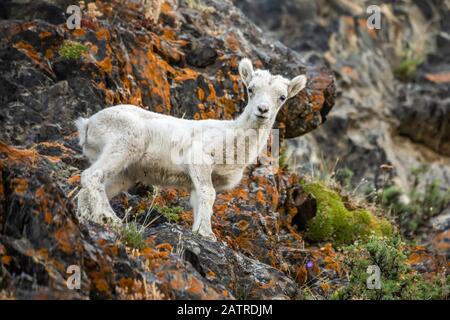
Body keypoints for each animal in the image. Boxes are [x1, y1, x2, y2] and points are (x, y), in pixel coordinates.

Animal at [75, 59, 308, 240]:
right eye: (250, 89)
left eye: (282, 97)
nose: (262, 110)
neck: (234, 138)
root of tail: (87, 124)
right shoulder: (200, 161)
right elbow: (208, 194)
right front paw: (207, 234)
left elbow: (200, 200)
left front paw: (199, 230)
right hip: (124, 145)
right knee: (91, 176)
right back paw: (110, 218)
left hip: (126, 173)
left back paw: (90, 217)